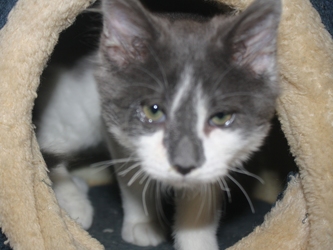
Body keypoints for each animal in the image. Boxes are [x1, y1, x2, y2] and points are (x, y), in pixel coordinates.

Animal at [34, 0, 280, 249]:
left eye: (220, 117)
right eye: (153, 110)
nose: (184, 164)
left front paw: (196, 239)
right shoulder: (115, 128)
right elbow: (132, 176)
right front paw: (143, 223)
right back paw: (73, 201)